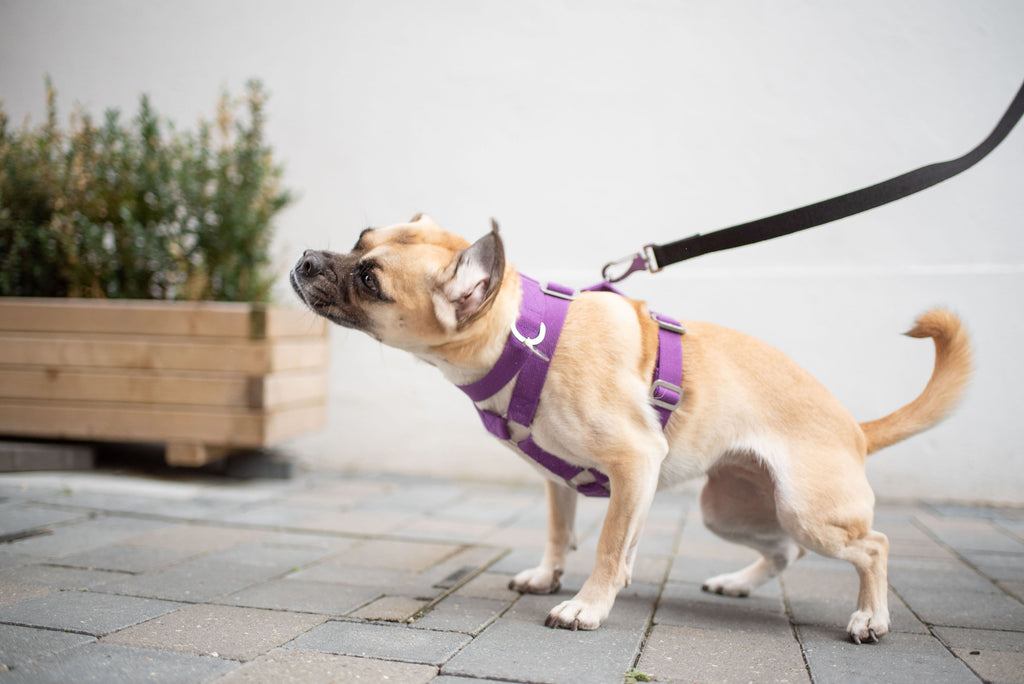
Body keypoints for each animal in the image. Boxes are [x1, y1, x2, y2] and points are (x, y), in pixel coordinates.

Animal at [292, 214, 970, 643]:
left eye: (369, 279)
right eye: (358, 238)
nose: (302, 257)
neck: (523, 339)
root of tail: (855, 427)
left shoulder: (634, 466)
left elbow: (609, 547)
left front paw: (587, 605)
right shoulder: (560, 480)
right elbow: (561, 532)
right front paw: (548, 576)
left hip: (809, 510)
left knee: (871, 547)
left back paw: (870, 619)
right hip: (730, 508)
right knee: (784, 550)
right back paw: (736, 583)